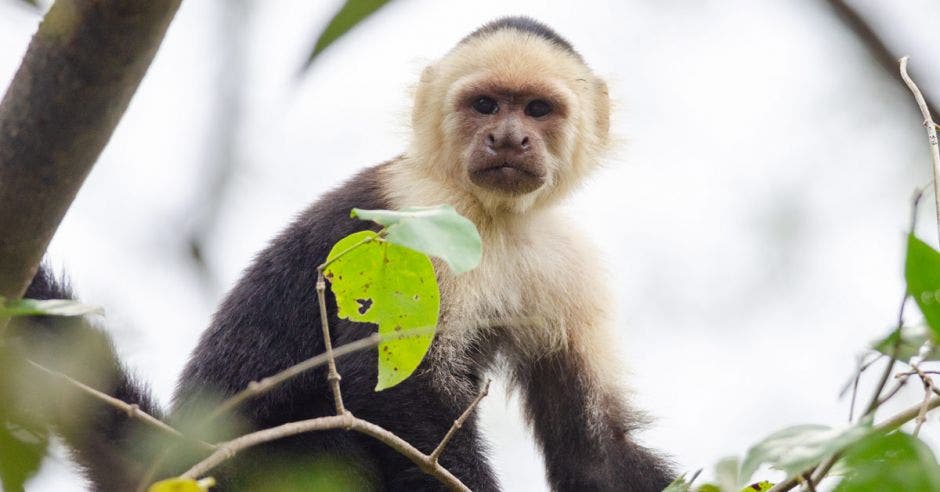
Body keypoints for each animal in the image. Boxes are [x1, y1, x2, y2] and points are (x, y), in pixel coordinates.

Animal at [7, 15, 672, 492]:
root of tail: (179, 455)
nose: (508, 137)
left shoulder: (567, 264)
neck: (493, 216)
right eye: (485, 105)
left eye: (537, 109)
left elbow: (591, 446)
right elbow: (390, 387)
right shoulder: (419, 212)